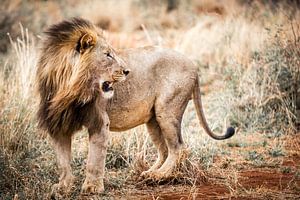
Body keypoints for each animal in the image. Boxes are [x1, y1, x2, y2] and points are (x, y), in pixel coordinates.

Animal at [36, 18, 234, 194]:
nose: (126, 71)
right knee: (164, 150)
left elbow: (94, 159)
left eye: (112, 52)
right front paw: (62, 187)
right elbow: (62, 162)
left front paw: (92, 187)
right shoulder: (58, 124)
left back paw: (160, 175)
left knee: (178, 147)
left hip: (166, 110)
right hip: (153, 120)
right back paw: (149, 173)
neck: (69, 88)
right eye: (107, 55)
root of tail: (193, 65)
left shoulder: (99, 122)